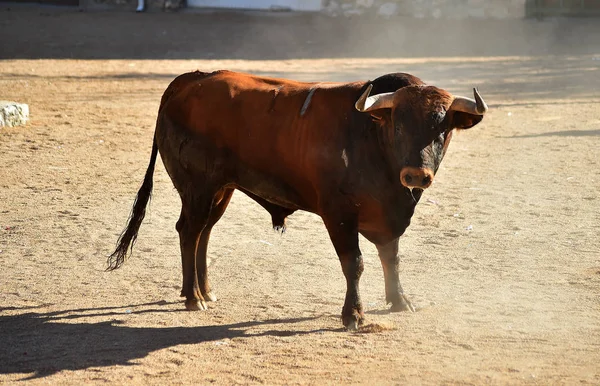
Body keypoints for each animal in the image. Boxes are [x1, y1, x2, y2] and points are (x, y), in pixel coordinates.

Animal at [109, 69, 488, 328]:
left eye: (444, 128)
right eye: (399, 124)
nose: (415, 176)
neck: (371, 136)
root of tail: (188, 80)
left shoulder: (388, 216)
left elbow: (390, 257)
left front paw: (399, 301)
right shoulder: (338, 214)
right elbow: (355, 263)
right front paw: (354, 314)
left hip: (221, 190)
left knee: (204, 232)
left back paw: (207, 291)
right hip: (197, 188)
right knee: (189, 231)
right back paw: (192, 298)